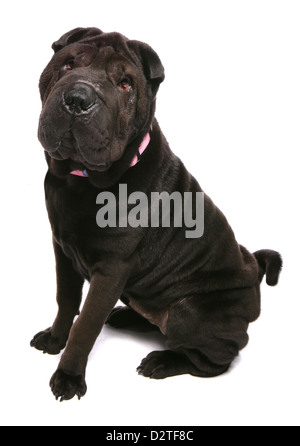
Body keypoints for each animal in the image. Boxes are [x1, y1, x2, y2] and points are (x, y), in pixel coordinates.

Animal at [30, 27, 282, 400]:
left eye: (124, 84)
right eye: (68, 64)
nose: (77, 98)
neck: (80, 181)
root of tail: (254, 271)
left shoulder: (112, 268)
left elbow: (86, 325)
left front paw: (69, 377)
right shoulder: (62, 247)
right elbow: (67, 300)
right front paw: (54, 338)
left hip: (189, 312)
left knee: (215, 359)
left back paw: (162, 362)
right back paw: (126, 316)